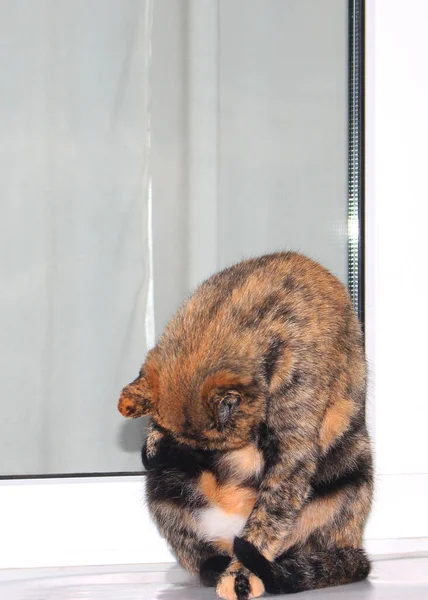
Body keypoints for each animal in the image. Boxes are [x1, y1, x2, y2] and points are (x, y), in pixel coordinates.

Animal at [118, 253, 372, 600]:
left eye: (209, 447)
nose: (168, 452)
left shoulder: (294, 447)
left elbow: (270, 514)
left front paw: (240, 577)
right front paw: (154, 442)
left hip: (351, 478)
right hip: (162, 487)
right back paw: (216, 565)